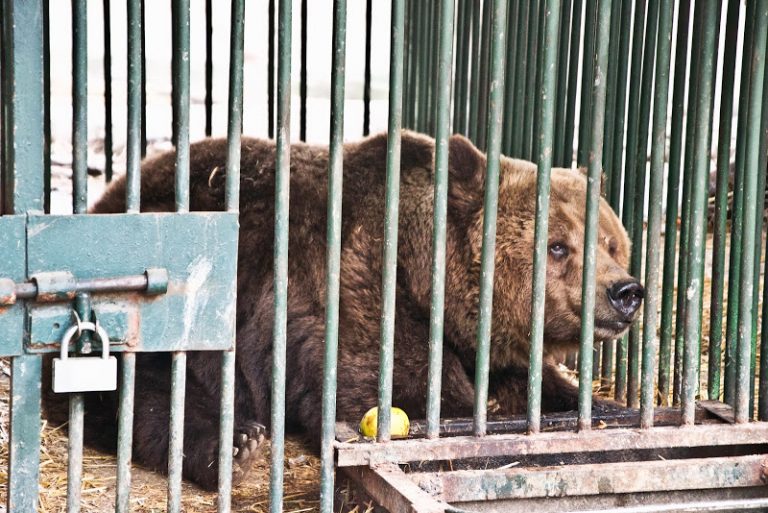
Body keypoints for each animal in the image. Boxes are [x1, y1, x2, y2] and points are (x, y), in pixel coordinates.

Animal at [52, 130, 640, 490]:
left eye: (612, 242)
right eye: (558, 246)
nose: (626, 292)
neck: (423, 275)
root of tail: (107, 198)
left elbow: (540, 387)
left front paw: (601, 410)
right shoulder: (351, 293)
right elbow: (404, 395)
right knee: (143, 393)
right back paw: (237, 443)